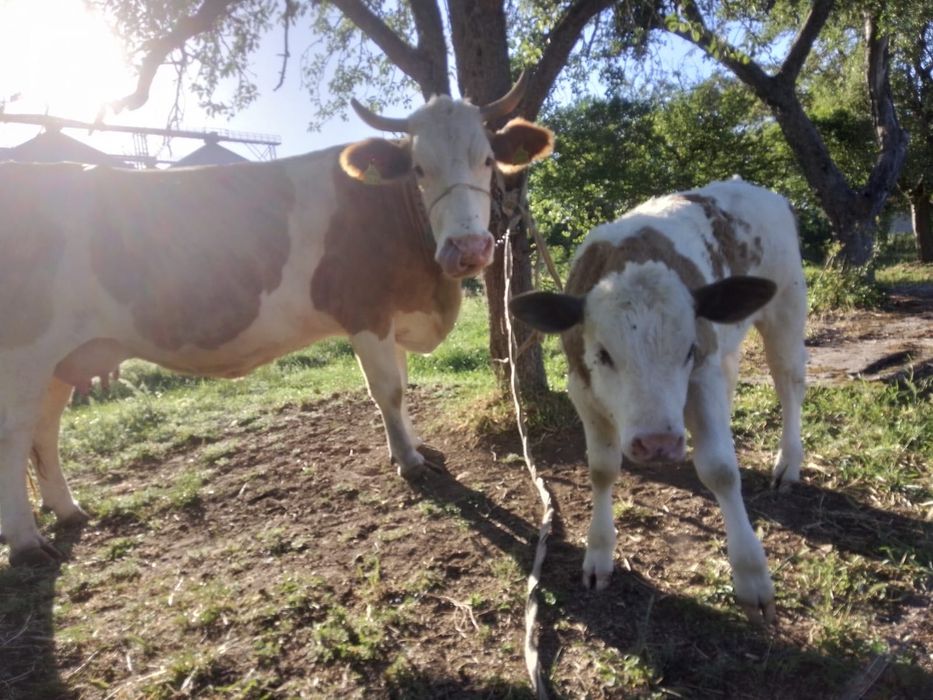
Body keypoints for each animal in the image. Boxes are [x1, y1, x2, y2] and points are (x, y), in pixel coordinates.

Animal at [0, 78, 554, 566]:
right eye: (419, 168)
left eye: (487, 160)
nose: (468, 249)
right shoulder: (365, 312)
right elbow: (388, 390)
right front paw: (410, 463)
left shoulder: (393, 315)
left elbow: (402, 384)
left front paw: (414, 447)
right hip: (23, 355)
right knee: (15, 434)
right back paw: (27, 541)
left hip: (60, 361)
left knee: (44, 432)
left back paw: (68, 511)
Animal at [509, 179, 807, 624]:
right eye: (603, 354)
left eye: (687, 350)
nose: (658, 444)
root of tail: (756, 189)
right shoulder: (581, 387)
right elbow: (601, 469)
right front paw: (599, 553)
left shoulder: (701, 371)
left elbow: (721, 471)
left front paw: (752, 575)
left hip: (786, 307)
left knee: (790, 384)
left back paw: (788, 463)